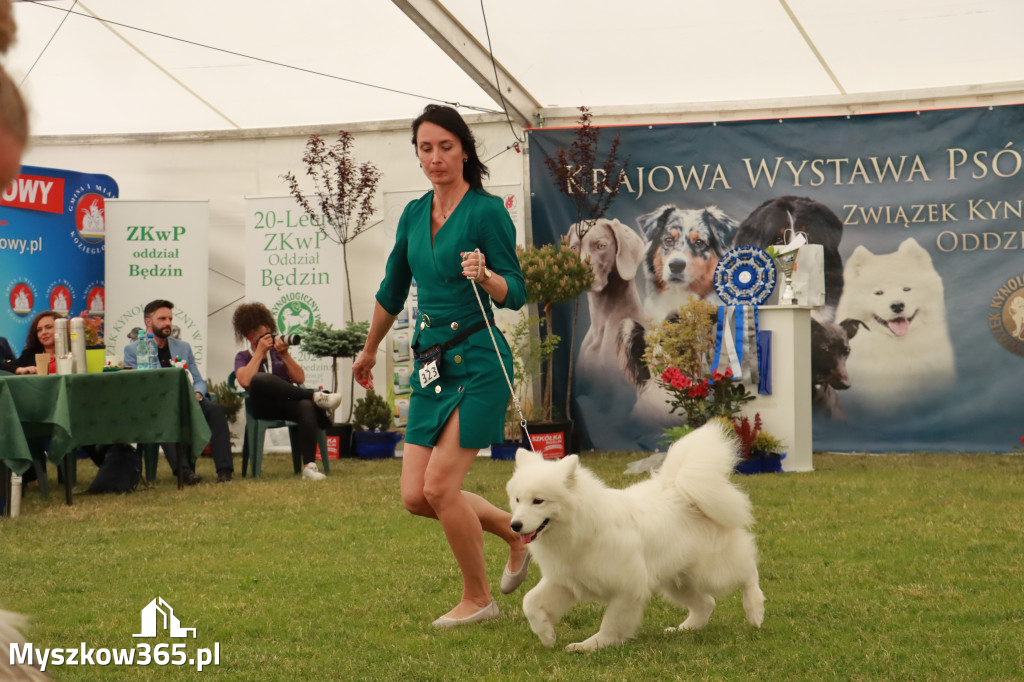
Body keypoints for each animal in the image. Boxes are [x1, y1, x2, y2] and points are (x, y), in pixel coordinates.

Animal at [503, 421, 761, 651]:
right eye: (517, 499)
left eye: (538, 501)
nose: (515, 525)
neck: (580, 529)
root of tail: (680, 491)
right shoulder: (566, 581)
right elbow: (530, 602)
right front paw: (547, 635)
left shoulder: (627, 587)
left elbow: (611, 623)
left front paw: (593, 645)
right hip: (676, 580)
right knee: (707, 603)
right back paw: (685, 629)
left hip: (710, 571)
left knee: (748, 571)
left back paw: (755, 612)